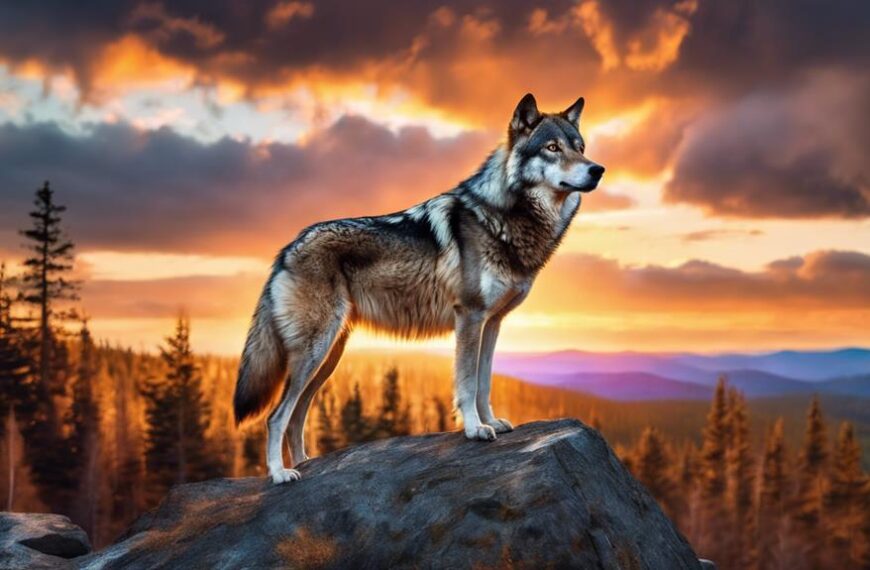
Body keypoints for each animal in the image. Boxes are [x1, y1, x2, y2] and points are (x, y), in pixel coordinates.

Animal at [234, 93, 605, 483]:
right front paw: (475, 429)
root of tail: (287, 248)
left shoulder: (492, 323)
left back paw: (306, 464)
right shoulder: (469, 316)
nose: (598, 170)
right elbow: (467, 382)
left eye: (580, 148)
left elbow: (485, 382)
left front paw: (491, 421)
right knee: (276, 416)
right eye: (552, 148)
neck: (502, 215)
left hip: (327, 357)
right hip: (314, 352)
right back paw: (280, 474)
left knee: (295, 416)